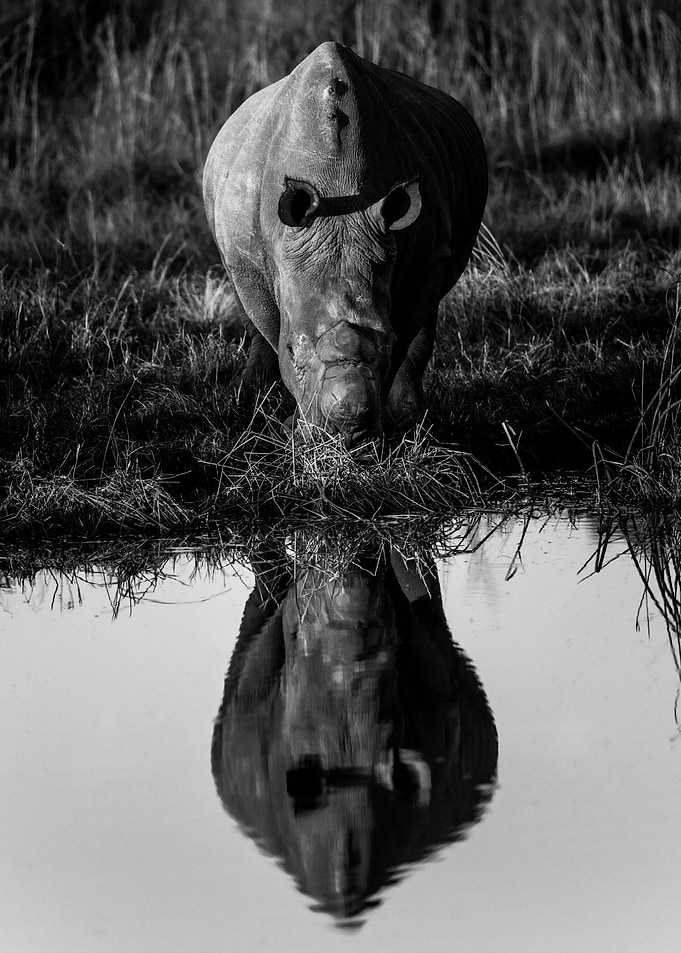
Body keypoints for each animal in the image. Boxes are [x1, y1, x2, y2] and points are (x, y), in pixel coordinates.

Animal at [203, 41, 487, 447]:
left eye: (386, 342)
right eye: (293, 350)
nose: (348, 430)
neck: (337, 185)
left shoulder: (427, 256)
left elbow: (408, 337)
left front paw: (399, 423)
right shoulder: (246, 258)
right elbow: (269, 327)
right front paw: (292, 428)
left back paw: (415, 415)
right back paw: (244, 396)